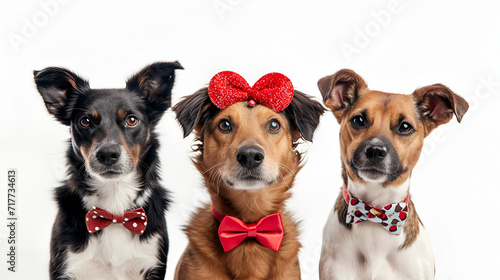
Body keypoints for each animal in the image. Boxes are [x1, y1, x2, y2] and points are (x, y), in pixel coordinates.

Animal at [35, 62, 184, 278]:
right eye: (85, 121)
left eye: (132, 120)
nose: (107, 154)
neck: (115, 208)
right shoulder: (67, 266)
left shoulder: (152, 265)